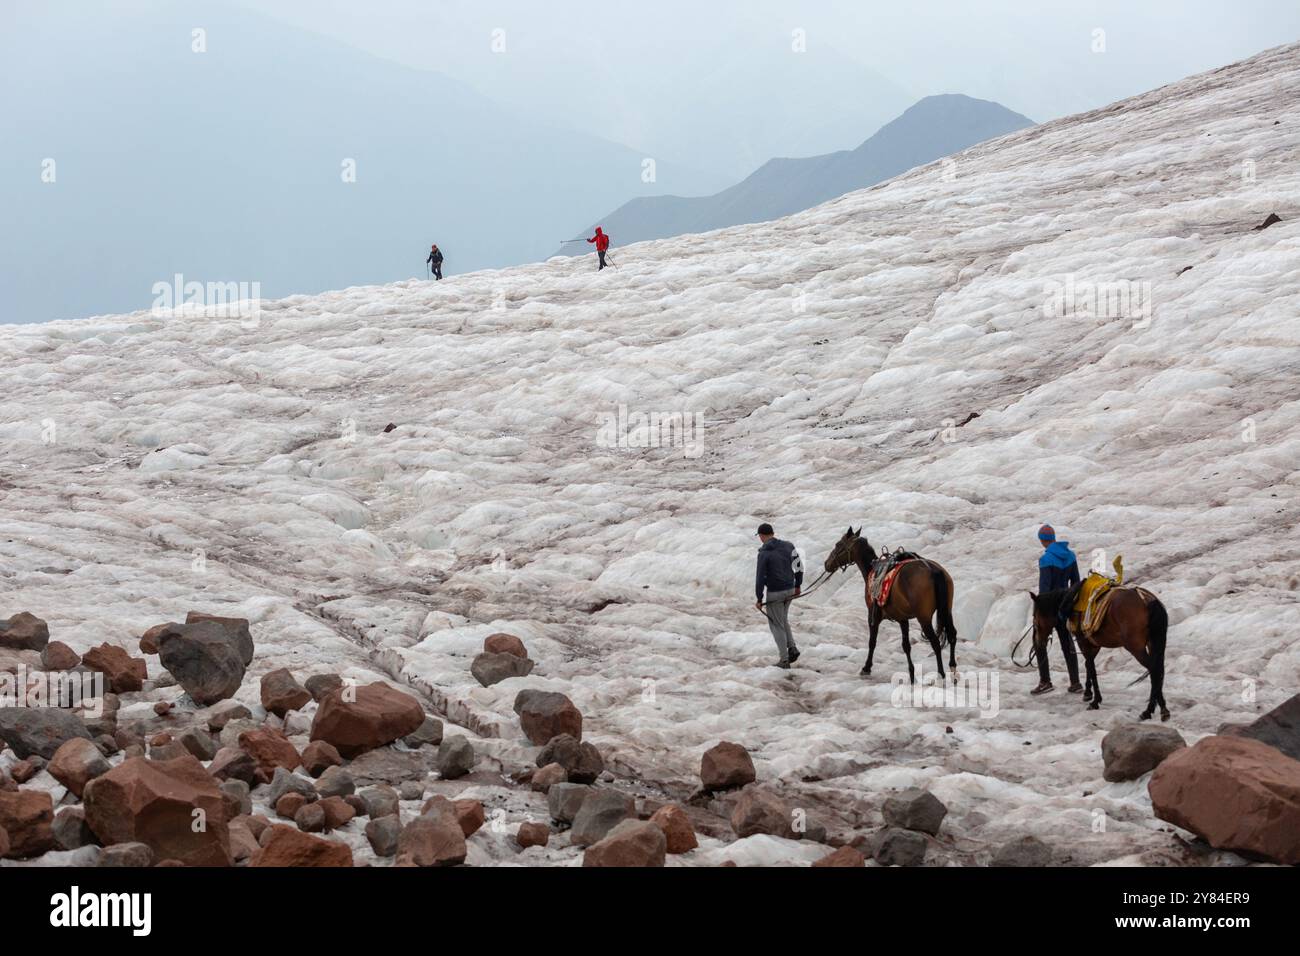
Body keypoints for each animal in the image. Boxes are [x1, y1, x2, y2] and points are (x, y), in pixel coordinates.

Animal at [821, 530, 956, 681]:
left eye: (838, 544)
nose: (826, 563)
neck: (871, 570)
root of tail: (934, 570)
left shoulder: (873, 616)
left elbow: (872, 642)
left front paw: (866, 667)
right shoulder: (903, 619)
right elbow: (906, 646)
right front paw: (911, 673)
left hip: (924, 618)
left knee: (935, 643)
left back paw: (941, 674)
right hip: (947, 610)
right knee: (952, 636)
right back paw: (952, 668)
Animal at [1029, 587, 1175, 723]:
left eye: (1034, 616)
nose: (1037, 641)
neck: (1072, 601)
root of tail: (1146, 599)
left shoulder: (1083, 642)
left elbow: (1091, 668)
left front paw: (1095, 701)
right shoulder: (1094, 645)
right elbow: (1088, 666)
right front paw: (1088, 694)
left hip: (1136, 648)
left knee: (1154, 671)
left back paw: (1151, 710)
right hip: (1153, 644)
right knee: (1158, 671)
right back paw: (1158, 709)